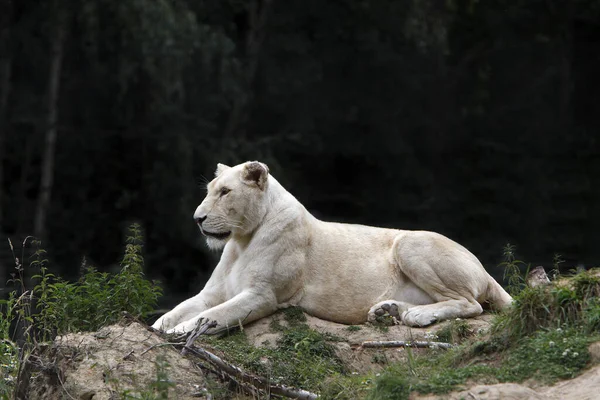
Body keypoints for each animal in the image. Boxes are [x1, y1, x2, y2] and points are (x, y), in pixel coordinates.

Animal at [151, 161, 510, 332]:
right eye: (209, 190)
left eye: (225, 192)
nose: (197, 218)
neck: (241, 240)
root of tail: (485, 270)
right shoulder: (211, 293)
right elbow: (178, 310)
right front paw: (159, 328)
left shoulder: (262, 296)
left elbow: (211, 316)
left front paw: (178, 333)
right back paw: (388, 311)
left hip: (411, 242)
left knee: (471, 304)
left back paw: (416, 316)